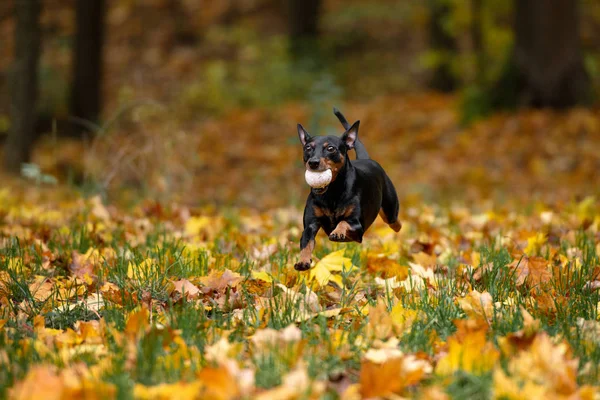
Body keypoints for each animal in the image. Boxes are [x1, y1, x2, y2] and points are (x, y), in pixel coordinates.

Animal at [292, 108, 400, 270]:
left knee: (395, 223)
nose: (313, 163)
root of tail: (367, 159)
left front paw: (337, 232)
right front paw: (303, 261)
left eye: (330, 148)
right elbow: (306, 243)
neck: (331, 193)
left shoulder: (358, 226)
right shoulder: (310, 225)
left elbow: (343, 222)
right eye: (307, 148)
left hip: (390, 212)